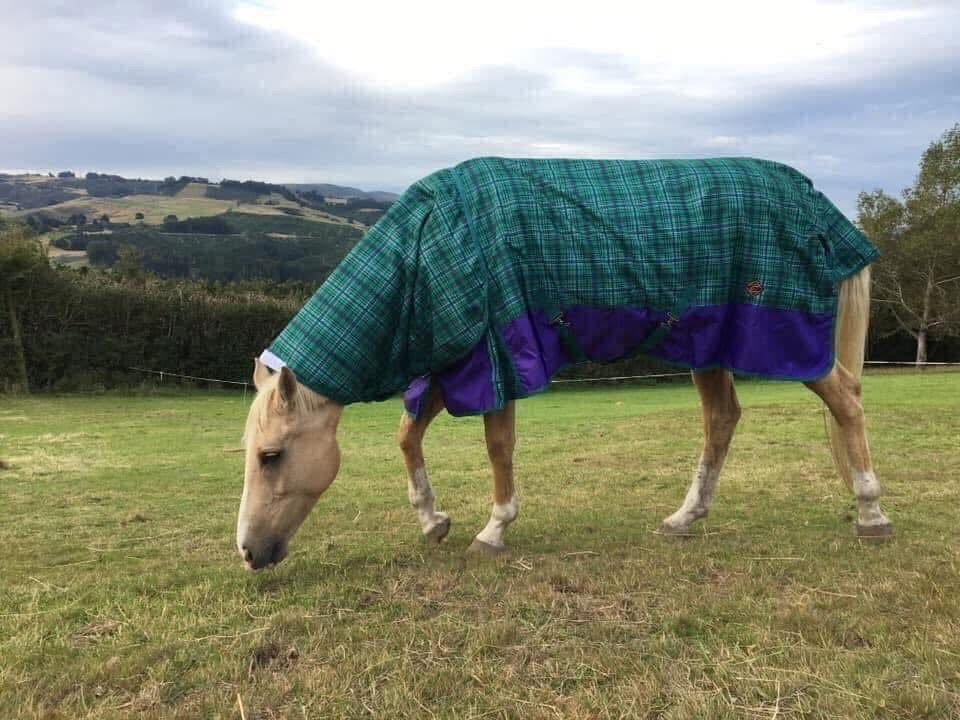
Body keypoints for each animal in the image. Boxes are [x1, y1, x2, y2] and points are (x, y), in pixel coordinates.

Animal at [235, 157, 892, 571]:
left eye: (270, 456)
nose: (247, 552)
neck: (426, 249)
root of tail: (813, 200)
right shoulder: (456, 359)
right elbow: (407, 434)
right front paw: (432, 520)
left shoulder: (493, 359)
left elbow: (497, 447)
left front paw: (493, 530)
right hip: (709, 341)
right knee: (723, 419)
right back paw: (683, 518)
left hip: (785, 339)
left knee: (846, 400)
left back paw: (871, 513)